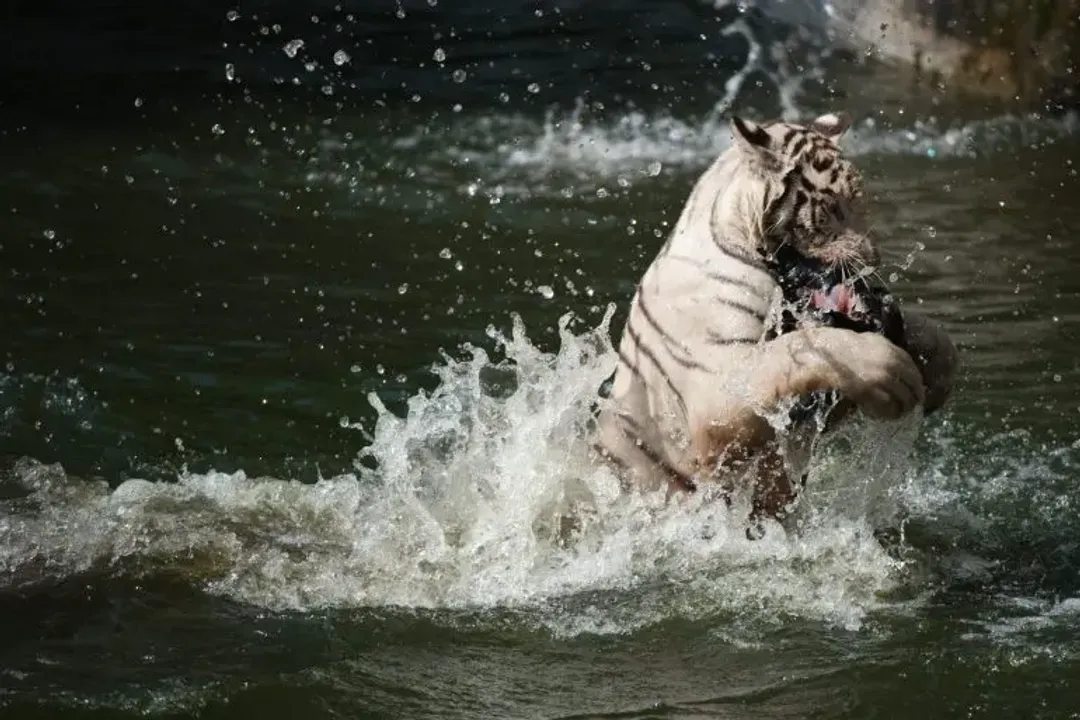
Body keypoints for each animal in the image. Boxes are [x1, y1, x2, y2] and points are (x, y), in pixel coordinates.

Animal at [594, 110, 959, 532]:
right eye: (831, 208)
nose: (873, 259)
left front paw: (935, 370)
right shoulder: (710, 406)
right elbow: (800, 348)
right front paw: (893, 376)